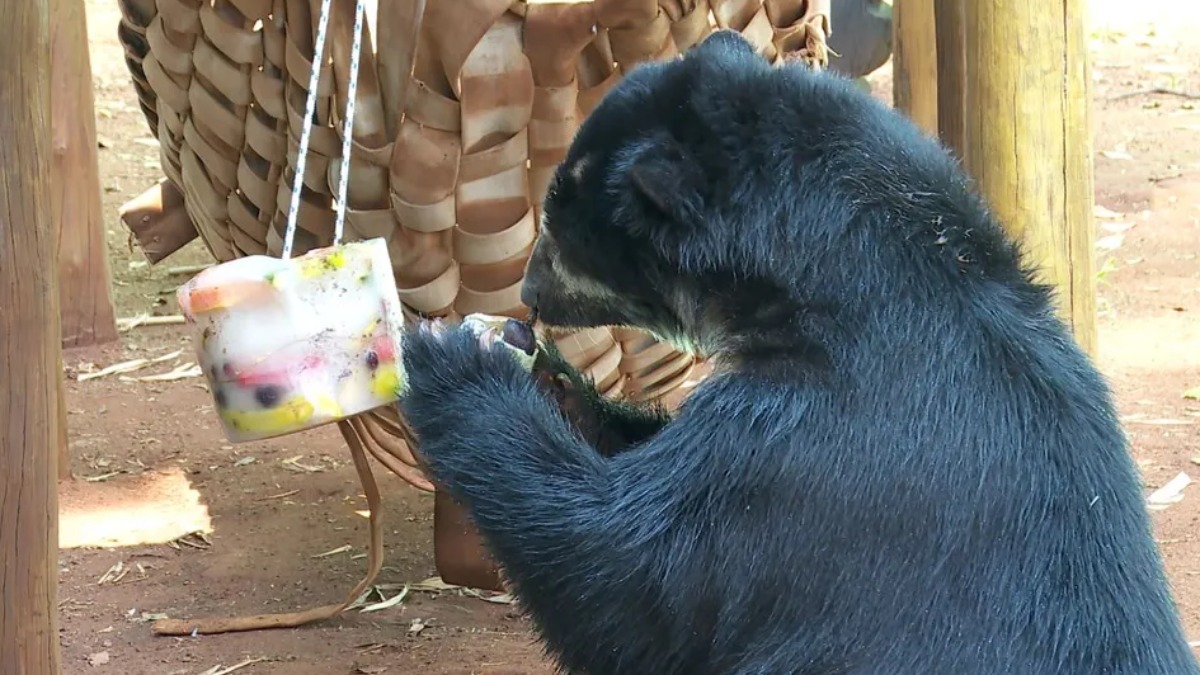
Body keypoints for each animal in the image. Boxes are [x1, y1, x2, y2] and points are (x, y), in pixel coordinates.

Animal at [396, 28, 1200, 667]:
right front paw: (550, 380)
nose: (528, 296)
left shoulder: (799, 455)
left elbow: (628, 579)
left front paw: (456, 360)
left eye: (564, 218)